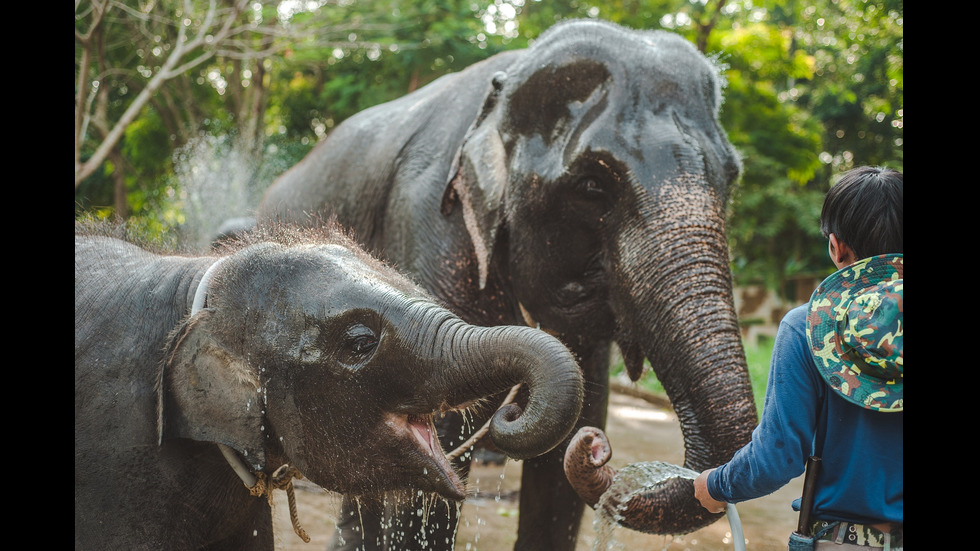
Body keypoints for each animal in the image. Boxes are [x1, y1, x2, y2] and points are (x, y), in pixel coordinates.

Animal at [255, 18, 756, 551]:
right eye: (593, 186)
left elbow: (570, 443)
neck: (509, 79)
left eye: (731, 177)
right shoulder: (430, 222)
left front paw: (575, 436)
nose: (598, 450)